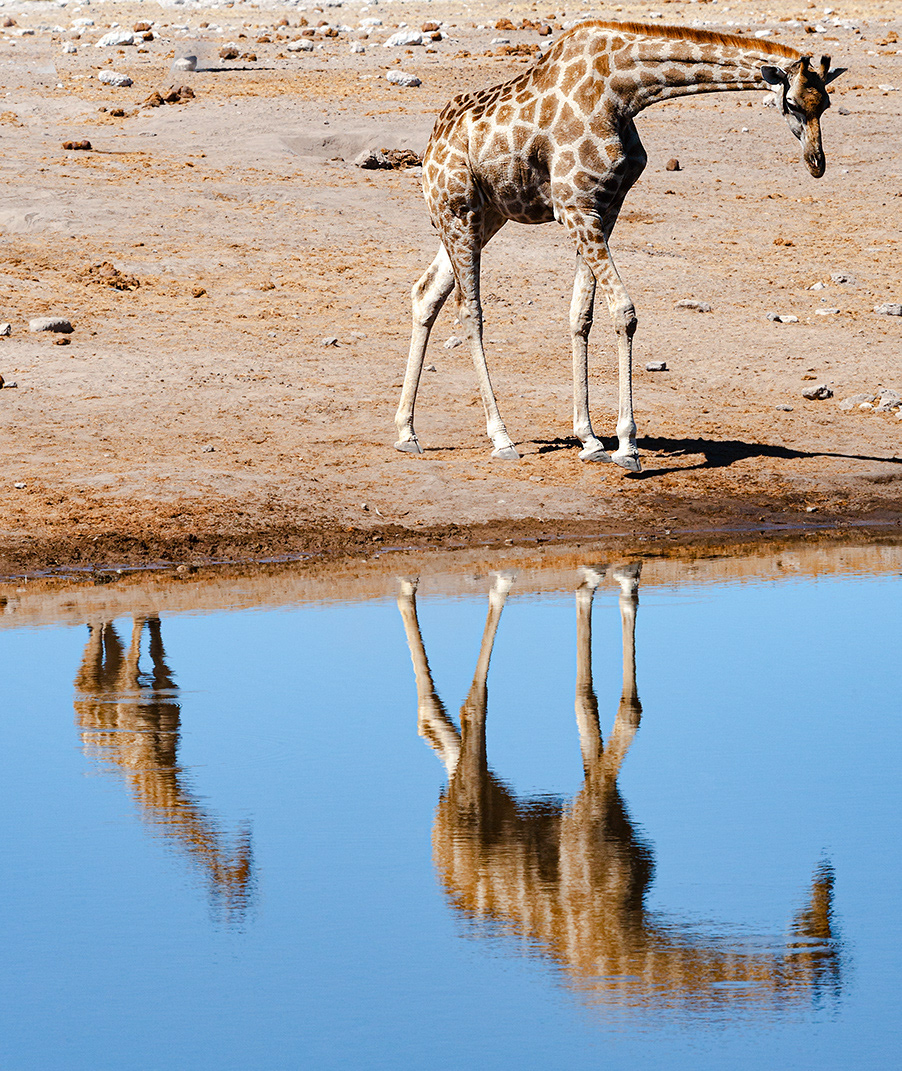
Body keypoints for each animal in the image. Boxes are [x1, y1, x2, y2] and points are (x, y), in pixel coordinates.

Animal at [394, 21, 846, 472]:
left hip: (487, 215)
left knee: (426, 292)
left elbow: (581, 315)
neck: (623, 92)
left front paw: (591, 440)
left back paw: (406, 433)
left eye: (824, 104)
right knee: (470, 310)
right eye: (791, 104)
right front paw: (627, 446)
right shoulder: (574, 207)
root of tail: (431, 144)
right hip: (459, 212)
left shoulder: (604, 209)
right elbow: (624, 312)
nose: (817, 163)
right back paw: (500, 438)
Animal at [396, 569, 841, 1009]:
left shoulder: (607, 816)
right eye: (819, 948)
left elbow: (586, 703)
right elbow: (628, 714)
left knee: (435, 726)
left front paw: (611, 584)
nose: (825, 885)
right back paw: (488, 586)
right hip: (472, 802)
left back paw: (409, 587)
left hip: (487, 797)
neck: (634, 936)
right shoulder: (588, 824)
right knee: (473, 706)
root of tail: (440, 852)